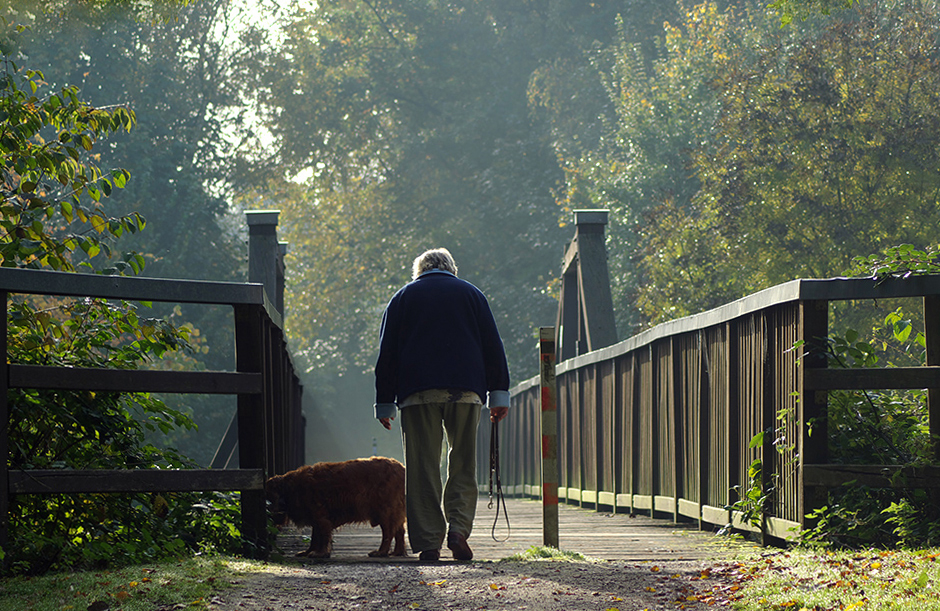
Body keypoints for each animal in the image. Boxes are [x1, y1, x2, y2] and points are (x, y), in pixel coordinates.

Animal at [266, 454, 410, 560]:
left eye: (268, 499)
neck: (291, 489)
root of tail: (402, 468)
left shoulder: (321, 518)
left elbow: (323, 537)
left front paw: (321, 553)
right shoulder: (316, 519)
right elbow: (314, 538)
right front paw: (308, 552)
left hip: (385, 510)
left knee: (389, 533)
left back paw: (381, 552)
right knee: (399, 532)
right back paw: (397, 552)